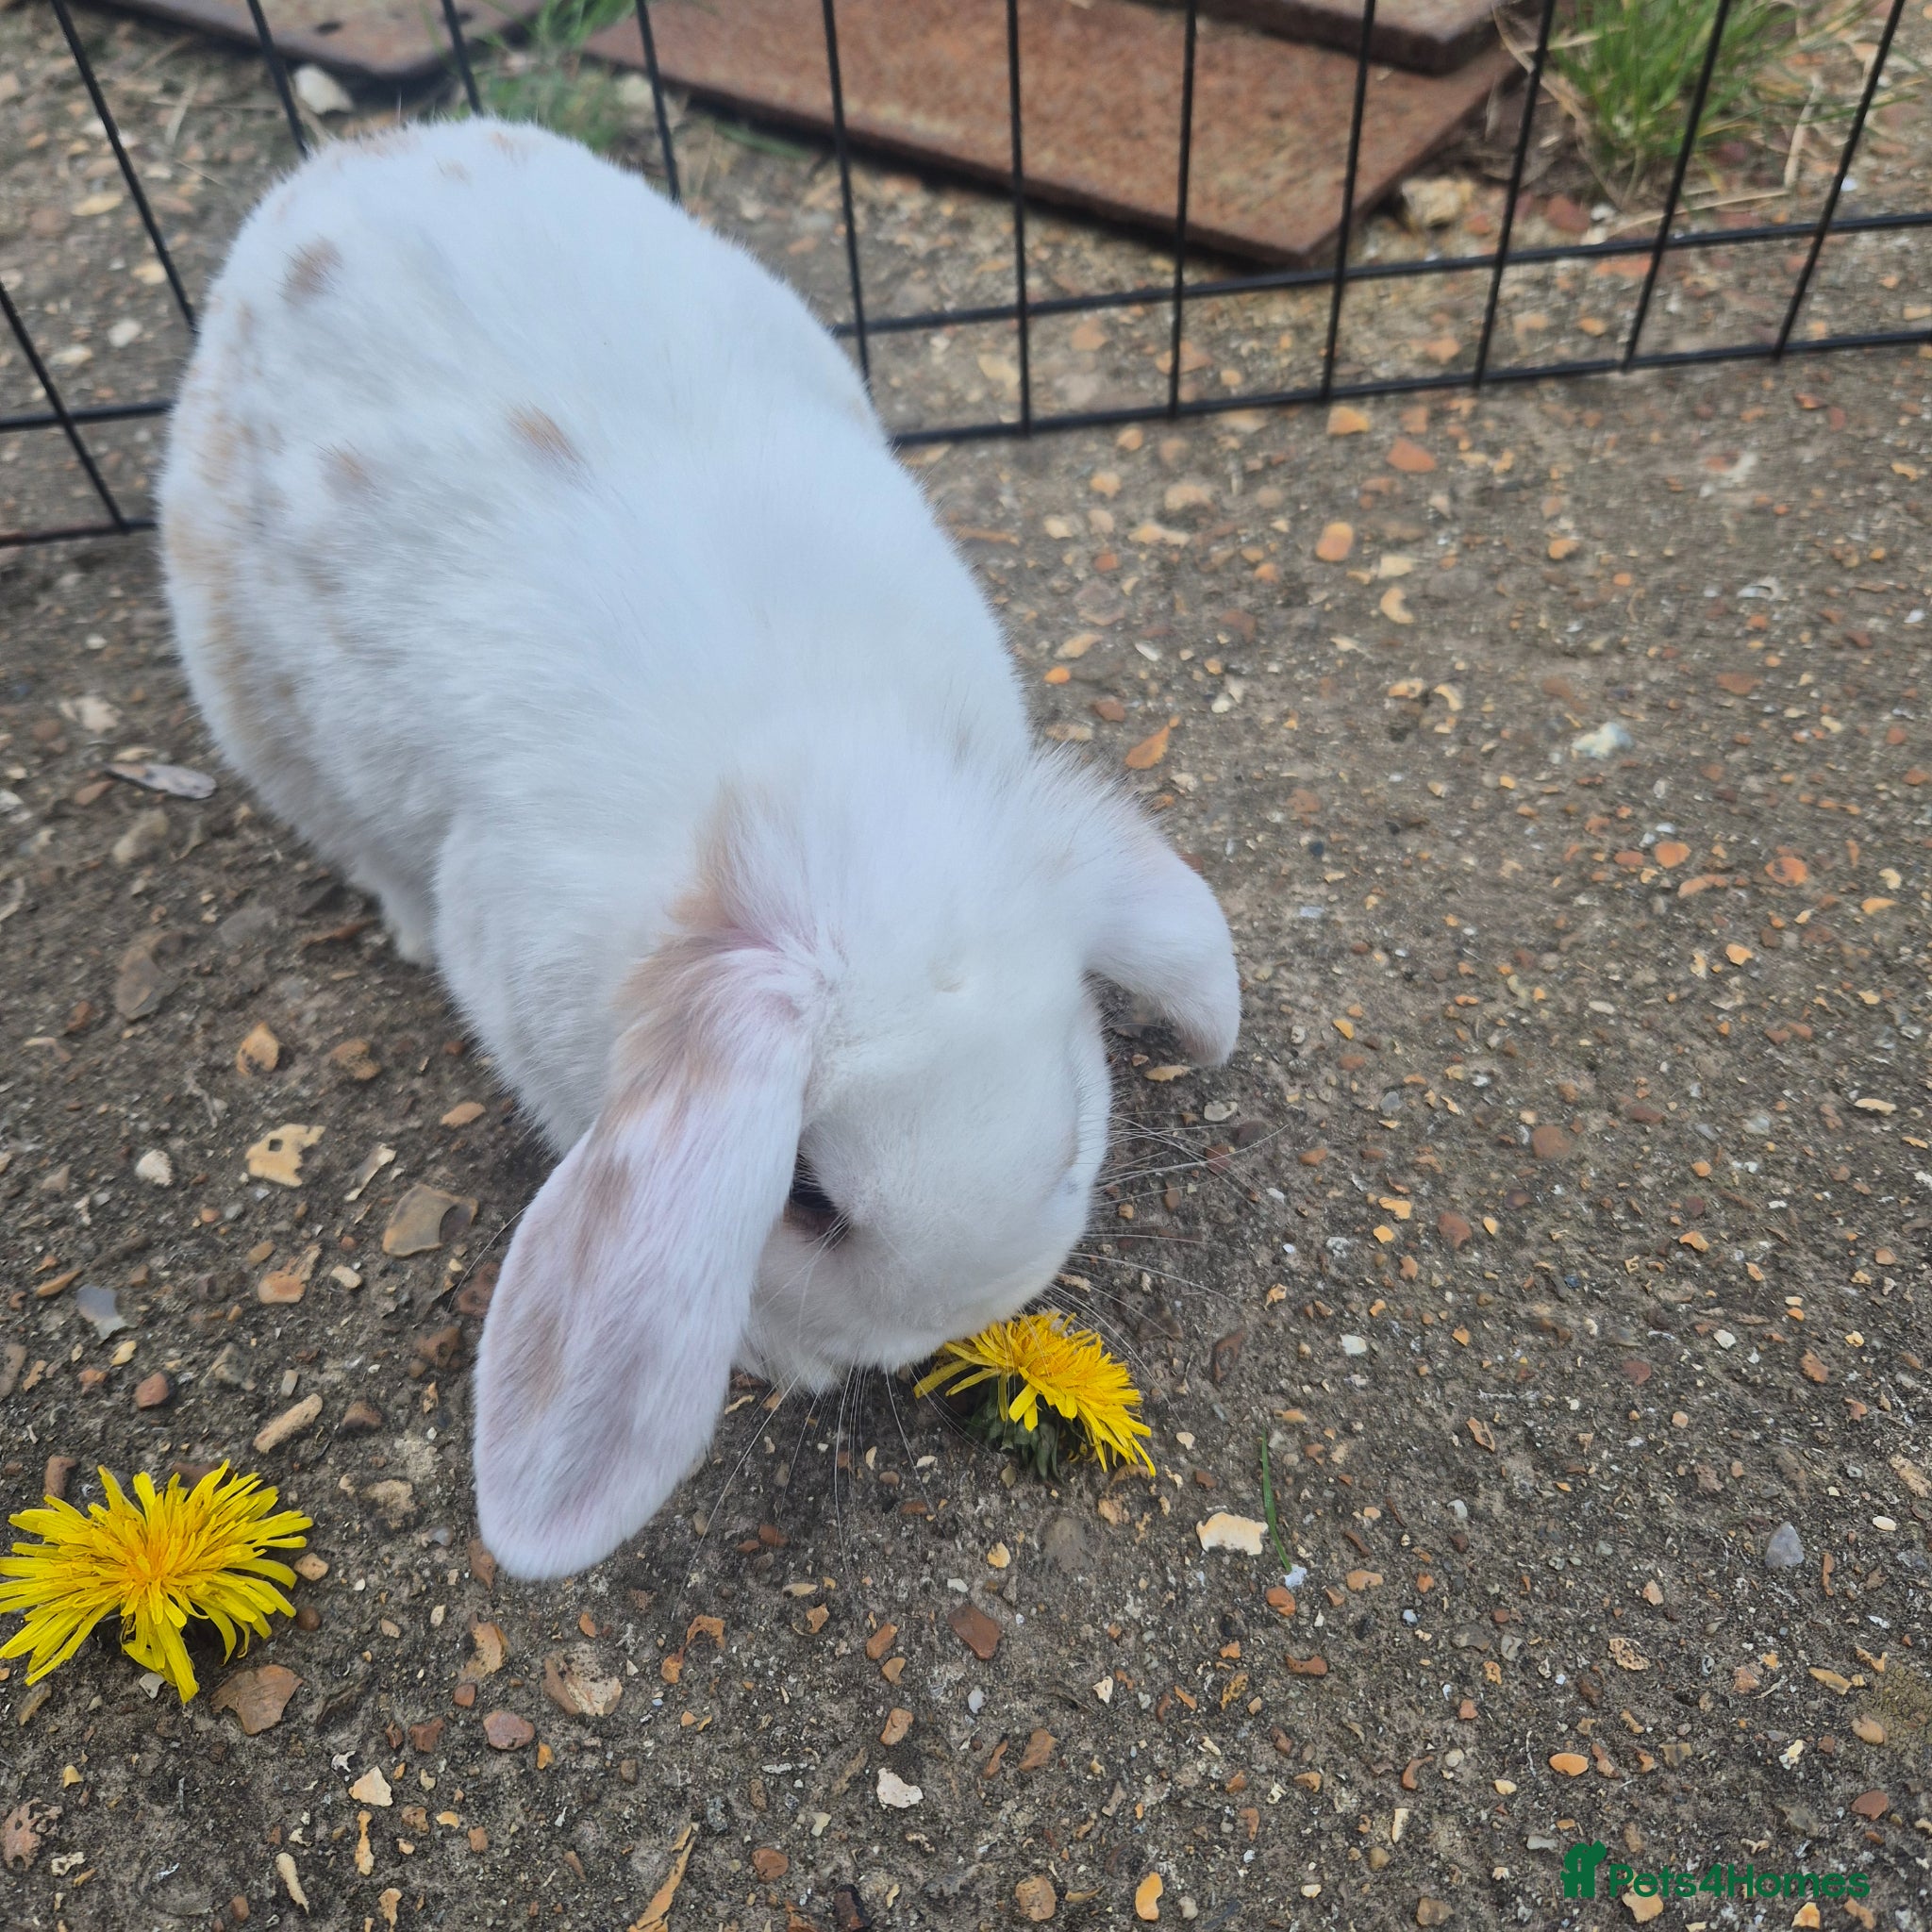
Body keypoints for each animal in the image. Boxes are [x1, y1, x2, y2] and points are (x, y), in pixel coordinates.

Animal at [160, 117, 1239, 1579]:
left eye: (1073, 1116)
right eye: (807, 1197)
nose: (948, 1328)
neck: (811, 786)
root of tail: (347, 168)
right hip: (248, 696)